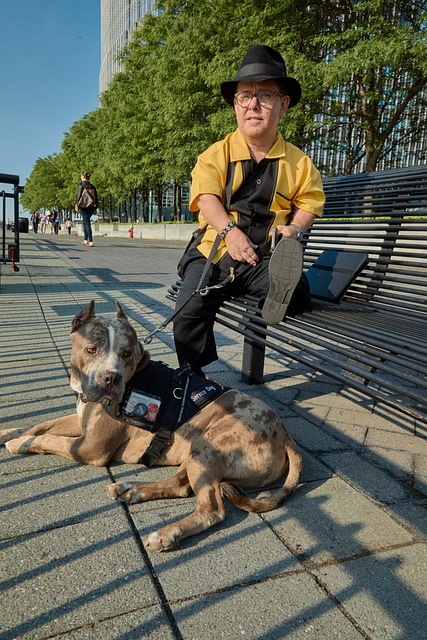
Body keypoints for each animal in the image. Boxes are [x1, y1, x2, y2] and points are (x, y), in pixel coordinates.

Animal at [0, 300, 302, 552]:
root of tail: (286, 435)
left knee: (212, 509)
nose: (111, 378)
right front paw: (9, 432)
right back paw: (131, 490)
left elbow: (49, 438)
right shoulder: (81, 419)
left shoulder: (89, 447)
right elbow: (41, 424)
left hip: (209, 448)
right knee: (181, 485)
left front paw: (19, 444)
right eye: (91, 349)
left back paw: (168, 533)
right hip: (198, 452)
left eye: (126, 353)